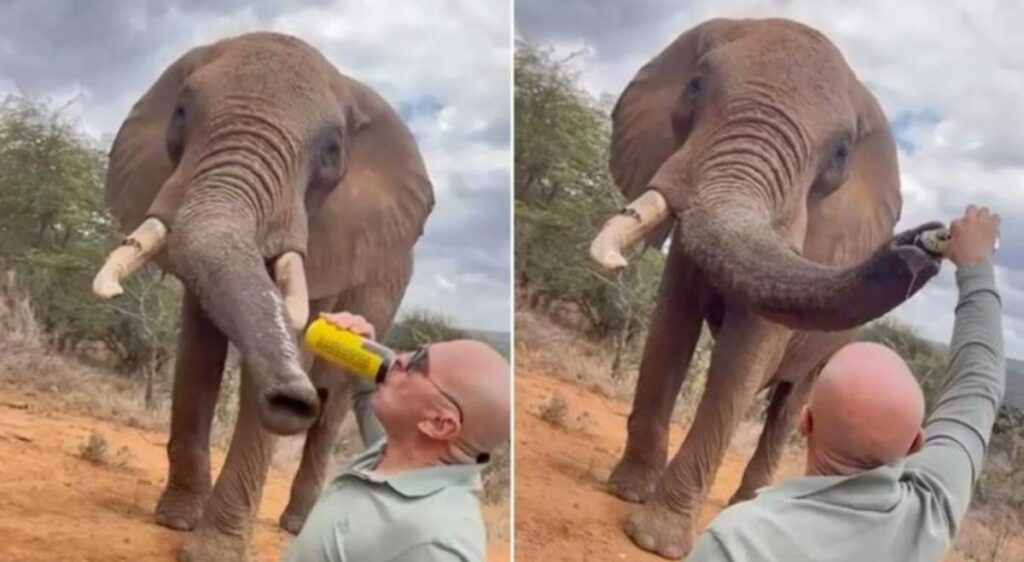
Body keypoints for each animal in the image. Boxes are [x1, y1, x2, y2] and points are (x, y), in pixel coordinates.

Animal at [91, 32, 433, 561]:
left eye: (331, 150)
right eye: (181, 112)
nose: (292, 398)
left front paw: (212, 552)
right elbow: (198, 351)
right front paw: (175, 520)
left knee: (333, 403)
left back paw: (297, 523)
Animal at [587, 18, 943, 558]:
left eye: (839, 154)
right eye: (695, 86)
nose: (928, 241)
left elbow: (745, 354)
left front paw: (656, 539)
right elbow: (671, 325)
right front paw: (627, 492)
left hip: (833, 350)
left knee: (791, 403)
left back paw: (751, 501)